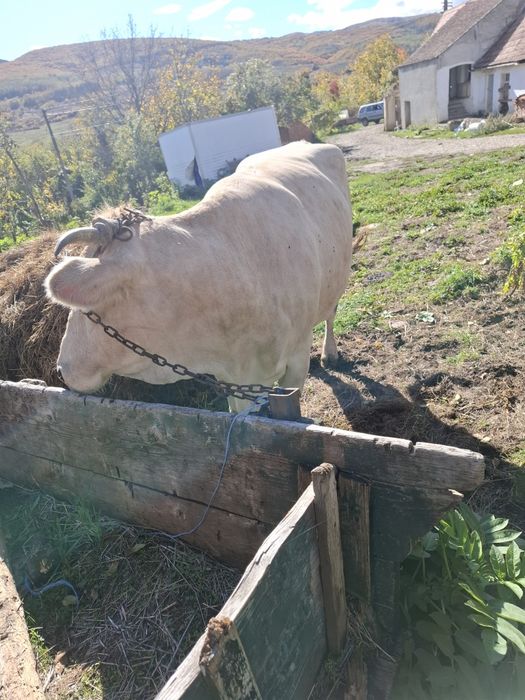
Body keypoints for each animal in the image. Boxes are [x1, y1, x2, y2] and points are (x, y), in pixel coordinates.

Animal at [45, 141, 353, 412]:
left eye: (83, 309)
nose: (60, 368)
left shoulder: (296, 360)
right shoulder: (235, 379)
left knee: (330, 312)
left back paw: (330, 353)